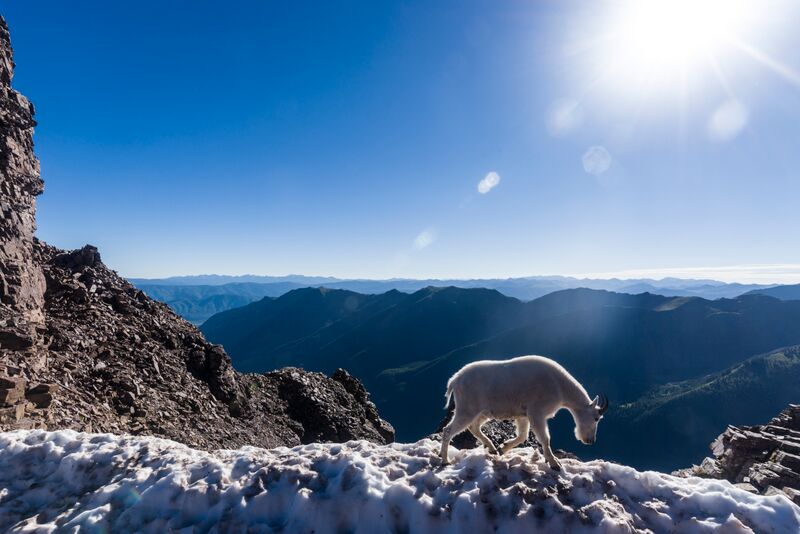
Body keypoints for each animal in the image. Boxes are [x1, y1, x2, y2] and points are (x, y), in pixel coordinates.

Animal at [440, 358, 608, 472]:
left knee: (474, 427)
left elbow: (522, 436)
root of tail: (455, 380)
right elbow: (545, 438)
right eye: (596, 418)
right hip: (467, 409)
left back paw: (492, 448)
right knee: (448, 430)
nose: (590, 441)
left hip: (482, 412)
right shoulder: (536, 413)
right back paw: (445, 460)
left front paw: (503, 448)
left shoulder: (523, 416)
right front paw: (555, 463)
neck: (560, 387)